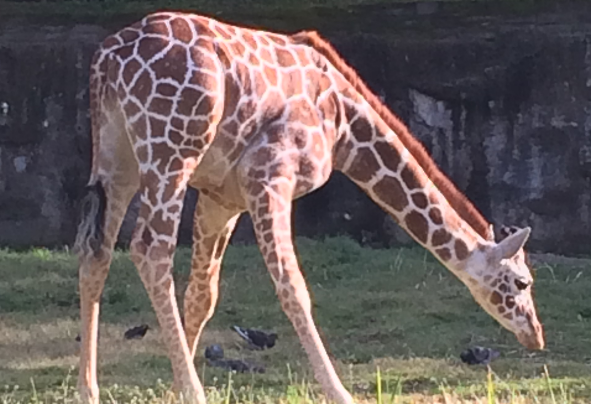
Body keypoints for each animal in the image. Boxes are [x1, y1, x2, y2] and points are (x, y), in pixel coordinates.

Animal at [74, 10, 544, 404]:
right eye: (521, 283)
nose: (536, 336)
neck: (344, 126)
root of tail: (107, 59)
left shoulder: (222, 198)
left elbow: (203, 295)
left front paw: (175, 388)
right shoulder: (269, 175)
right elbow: (294, 288)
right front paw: (340, 393)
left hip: (118, 157)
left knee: (96, 251)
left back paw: (88, 390)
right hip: (172, 151)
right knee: (149, 249)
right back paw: (193, 391)